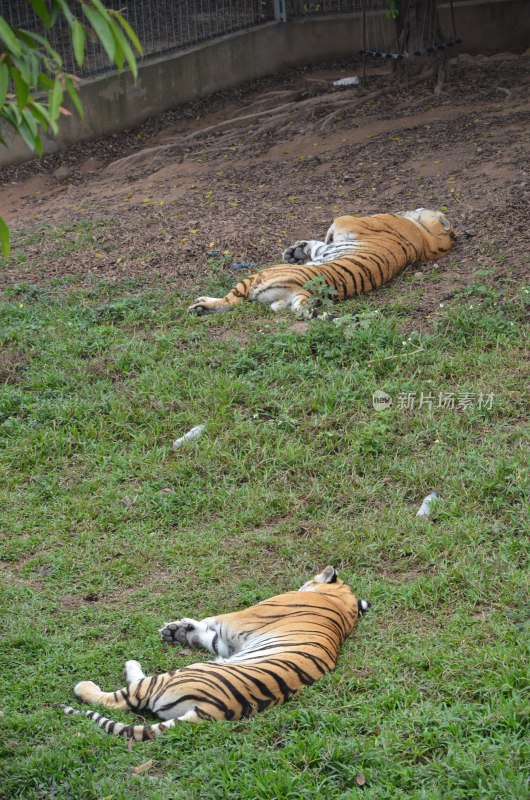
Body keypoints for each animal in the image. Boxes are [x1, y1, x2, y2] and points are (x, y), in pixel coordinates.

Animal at [60, 564, 368, 740]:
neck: (345, 609)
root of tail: (211, 712)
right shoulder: (226, 642)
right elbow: (206, 634)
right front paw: (177, 630)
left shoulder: (235, 620)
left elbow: (210, 622)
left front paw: (180, 628)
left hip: (178, 675)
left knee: (123, 698)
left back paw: (99, 679)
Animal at [188, 208, 452, 318]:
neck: (427, 239)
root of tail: (306, 292)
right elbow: (317, 245)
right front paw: (294, 251)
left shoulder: (349, 221)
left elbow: (331, 229)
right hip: (278, 301)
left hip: (259, 275)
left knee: (230, 301)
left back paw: (199, 306)